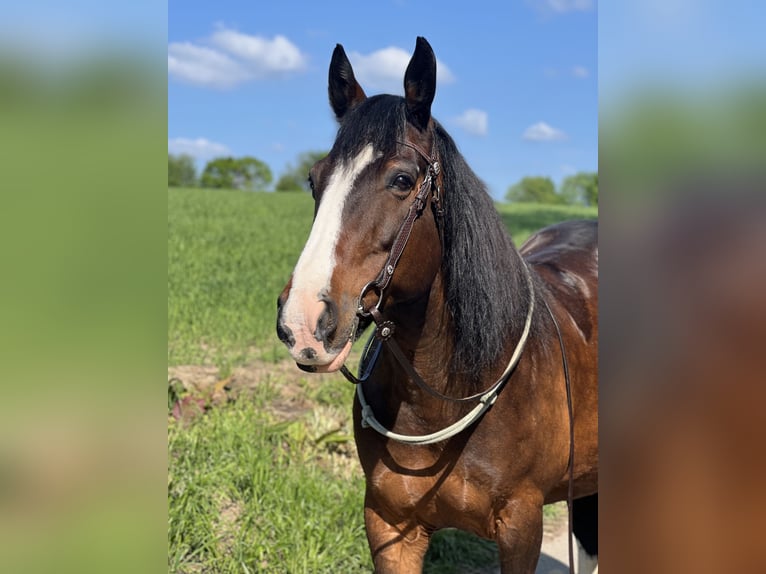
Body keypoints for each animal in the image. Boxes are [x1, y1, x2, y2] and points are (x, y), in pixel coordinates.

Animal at [276, 37, 600, 574]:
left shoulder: (521, 530)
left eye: (402, 180)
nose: (303, 322)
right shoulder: (390, 526)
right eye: (313, 179)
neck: (445, 394)